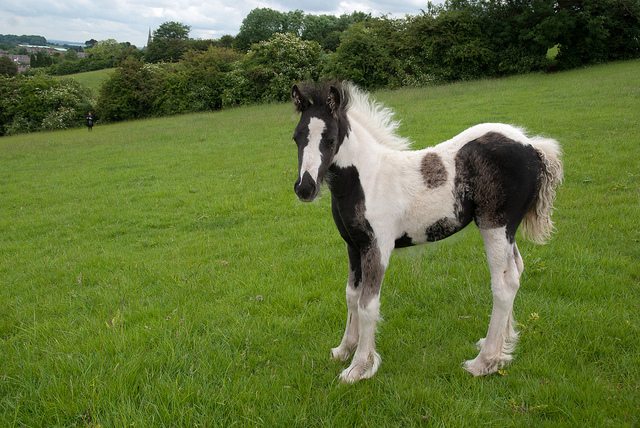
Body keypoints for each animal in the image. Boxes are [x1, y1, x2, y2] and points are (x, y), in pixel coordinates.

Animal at [292, 81, 564, 384]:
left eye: (330, 139)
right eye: (296, 138)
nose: (305, 188)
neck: (368, 179)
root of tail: (533, 146)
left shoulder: (377, 246)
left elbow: (367, 304)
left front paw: (359, 367)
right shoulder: (353, 245)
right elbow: (352, 295)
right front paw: (344, 349)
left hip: (494, 226)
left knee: (503, 285)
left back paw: (484, 362)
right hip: (507, 233)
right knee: (517, 271)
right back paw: (500, 345)